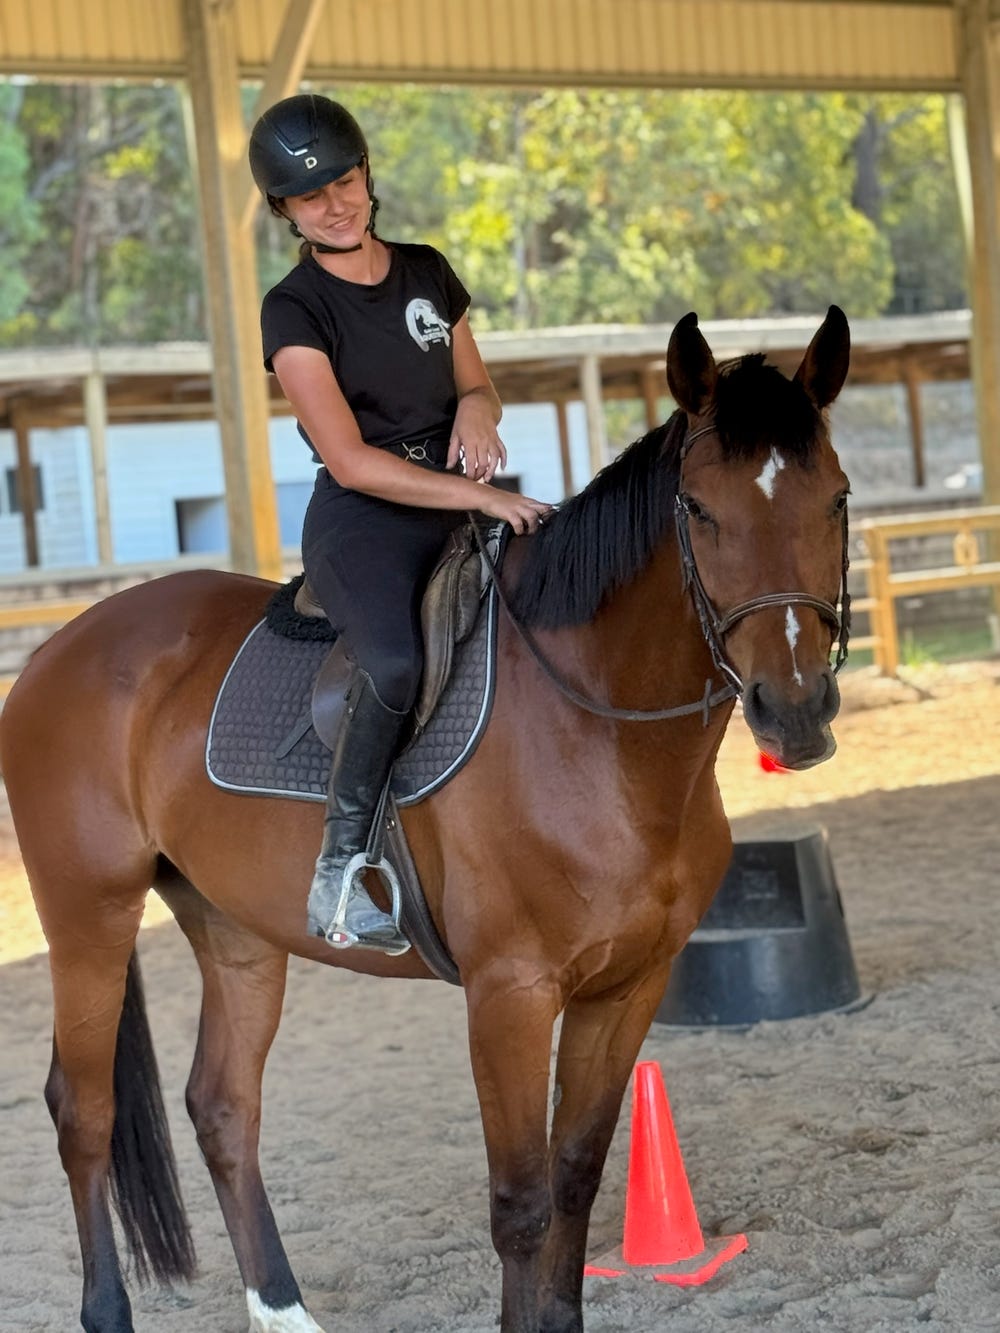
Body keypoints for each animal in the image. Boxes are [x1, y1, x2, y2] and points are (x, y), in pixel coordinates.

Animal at [0, 307, 851, 1333]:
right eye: (698, 508)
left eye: (838, 498)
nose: (795, 710)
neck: (597, 733)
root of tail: (60, 648)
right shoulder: (510, 995)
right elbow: (522, 1204)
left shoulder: (628, 987)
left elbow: (577, 1176)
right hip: (88, 913)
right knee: (82, 1110)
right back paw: (111, 1310)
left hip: (234, 929)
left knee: (222, 1105)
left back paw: (282, 1307)